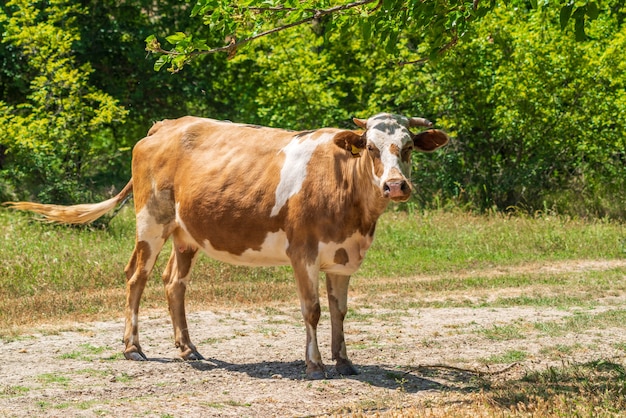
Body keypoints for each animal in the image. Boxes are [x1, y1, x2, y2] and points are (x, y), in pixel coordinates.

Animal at [4, 113, 446, 378]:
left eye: (408, 147)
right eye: (371, 148)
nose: (395, 185)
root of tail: (165, 126)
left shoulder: (342, 256)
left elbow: (340, 310)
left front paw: (344, 361)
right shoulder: (302, 252)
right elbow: (313, 310)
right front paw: (315, 365)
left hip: (185, 232)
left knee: (173, 282)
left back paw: (188, 349)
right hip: (151, 219)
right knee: (137, 276)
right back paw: (133, 348)